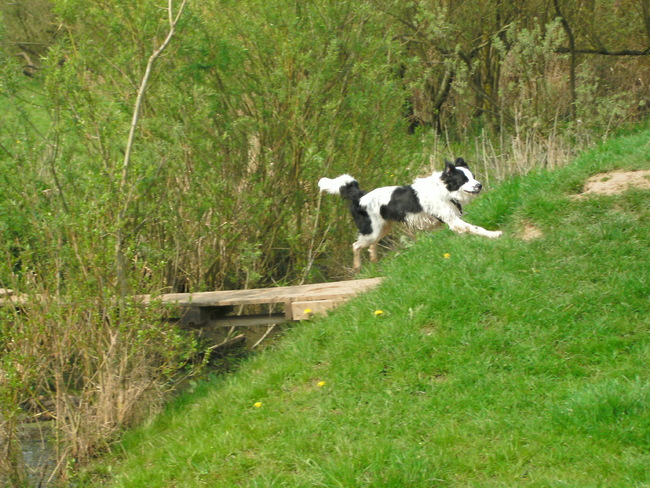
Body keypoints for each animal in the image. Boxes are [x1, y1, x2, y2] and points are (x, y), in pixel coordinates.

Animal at [318, 158, 502, 271]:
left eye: (474, 177)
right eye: (464, 180)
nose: (479, 185)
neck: (444, 190)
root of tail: (360, 196)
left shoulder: (454, 221)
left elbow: (469, 229)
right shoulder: (453, 221)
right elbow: (476, 228)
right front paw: (494, 234)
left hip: (383, 228)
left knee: (371, 245)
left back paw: (374, 261)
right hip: (372, 231)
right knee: (356, 245)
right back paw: (357, 267)